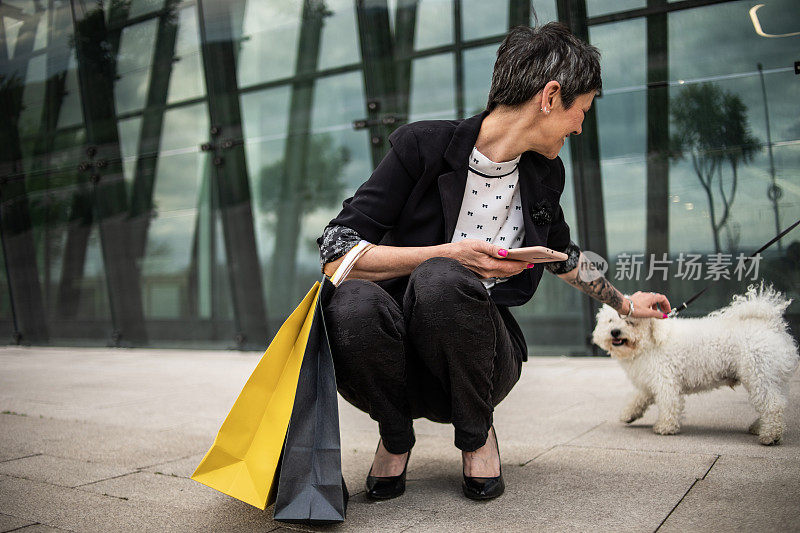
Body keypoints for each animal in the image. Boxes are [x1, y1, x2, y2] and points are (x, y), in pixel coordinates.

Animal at [592, 282, 796, 444]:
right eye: (610, 321)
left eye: (630, 322)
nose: (615, 332)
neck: (650, 341)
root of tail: (771, 325)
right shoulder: (649, 380)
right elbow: (639, 397)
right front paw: (629, 413)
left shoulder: (665, 380)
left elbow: (669, 403)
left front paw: (665, 427)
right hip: (772, 377)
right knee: (776, 401)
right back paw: (760, 427)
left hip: (759, 374)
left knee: (773, 405)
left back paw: (770, 435)